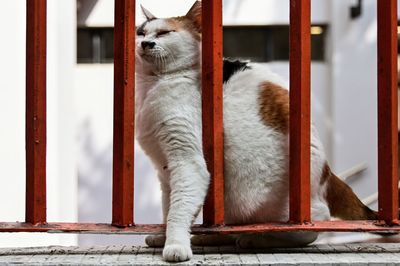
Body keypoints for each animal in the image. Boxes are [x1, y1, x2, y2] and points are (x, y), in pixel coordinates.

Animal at [135, 0, 378, 262]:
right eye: (141, 33)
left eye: (164, 33)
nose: (146, 43)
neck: (153, 84)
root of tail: (328, 174)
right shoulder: (165, 168)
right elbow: (169, 206)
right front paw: (163, 237)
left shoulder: (188, 160)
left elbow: (179, 208)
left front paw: (176, 245)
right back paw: (211, 237)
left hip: (264, 201)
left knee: (311, 227)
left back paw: (255, 238)